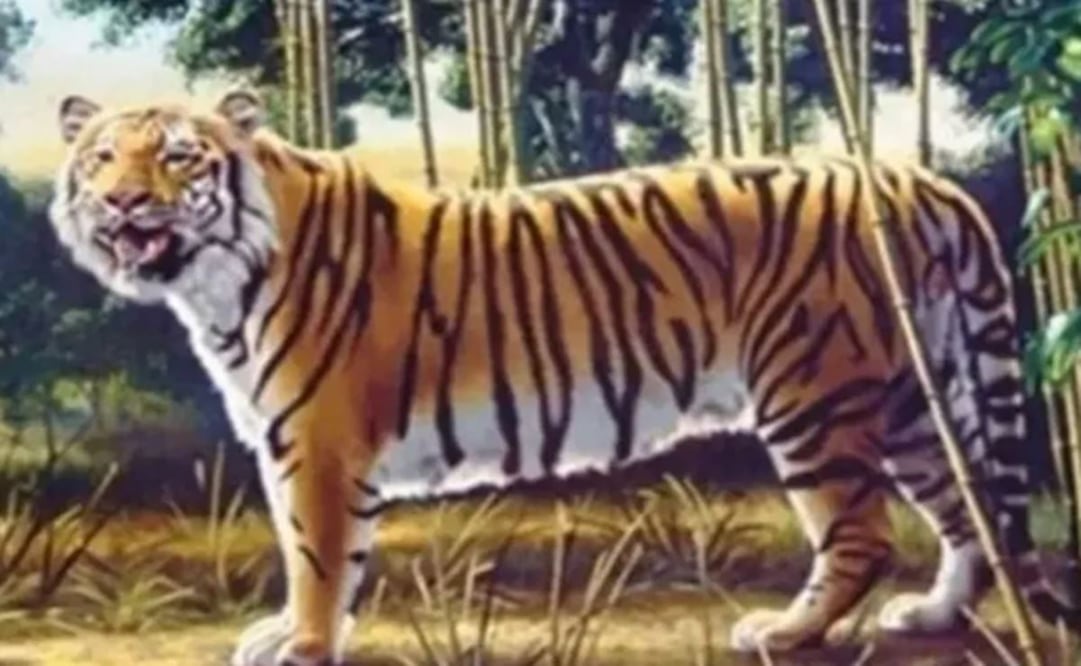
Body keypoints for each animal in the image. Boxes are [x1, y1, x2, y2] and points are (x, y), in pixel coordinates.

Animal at [47, 89, 1079, 665]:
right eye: (100, 157)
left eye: (177, 156)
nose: (121, 201)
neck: (213, 283)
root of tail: (913, 180)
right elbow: (327, 558)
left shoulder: (316, 445)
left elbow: (315, 557)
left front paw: (298, 646)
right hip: (911, 399)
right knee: (968, 508)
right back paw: (932, 615)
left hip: (813, 399)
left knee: (859, 536)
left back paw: (783, 635)